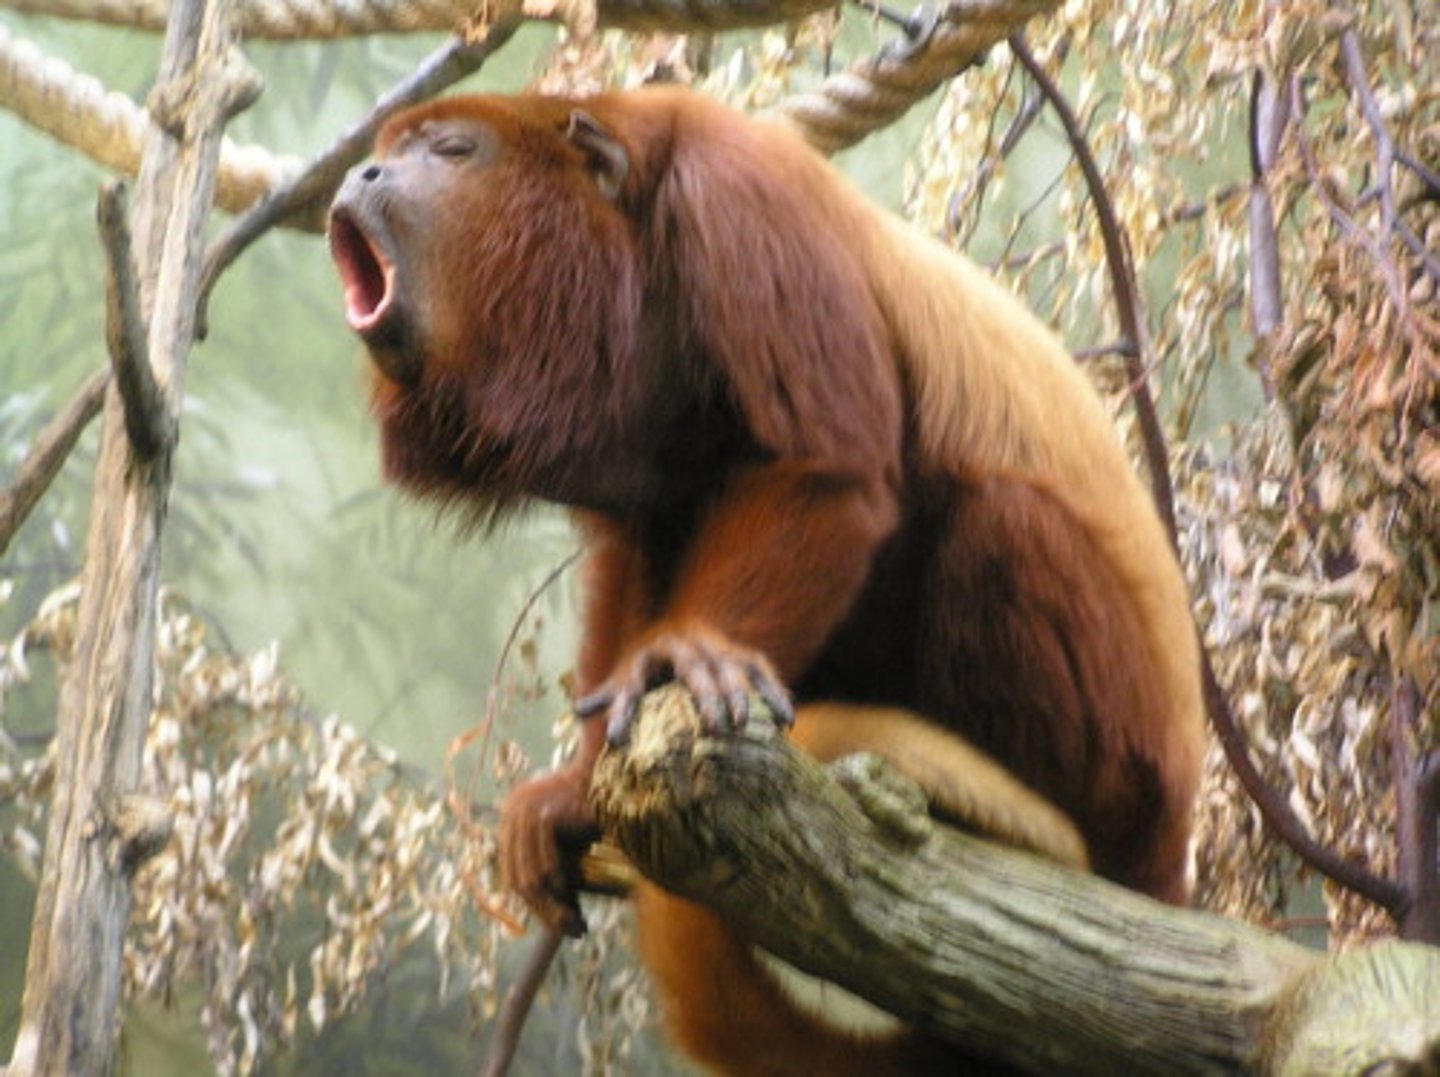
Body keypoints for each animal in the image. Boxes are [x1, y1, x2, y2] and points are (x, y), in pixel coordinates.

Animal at [328, 86, 1205, 1074]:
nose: (363, 172)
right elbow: (637, 549)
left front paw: (699, 656)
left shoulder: (742, 201)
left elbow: (826, 468)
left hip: (1128, 764)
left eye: (449, 151)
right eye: (392, 150)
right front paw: (573, 796)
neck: (636, 235)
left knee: (1001, 519)